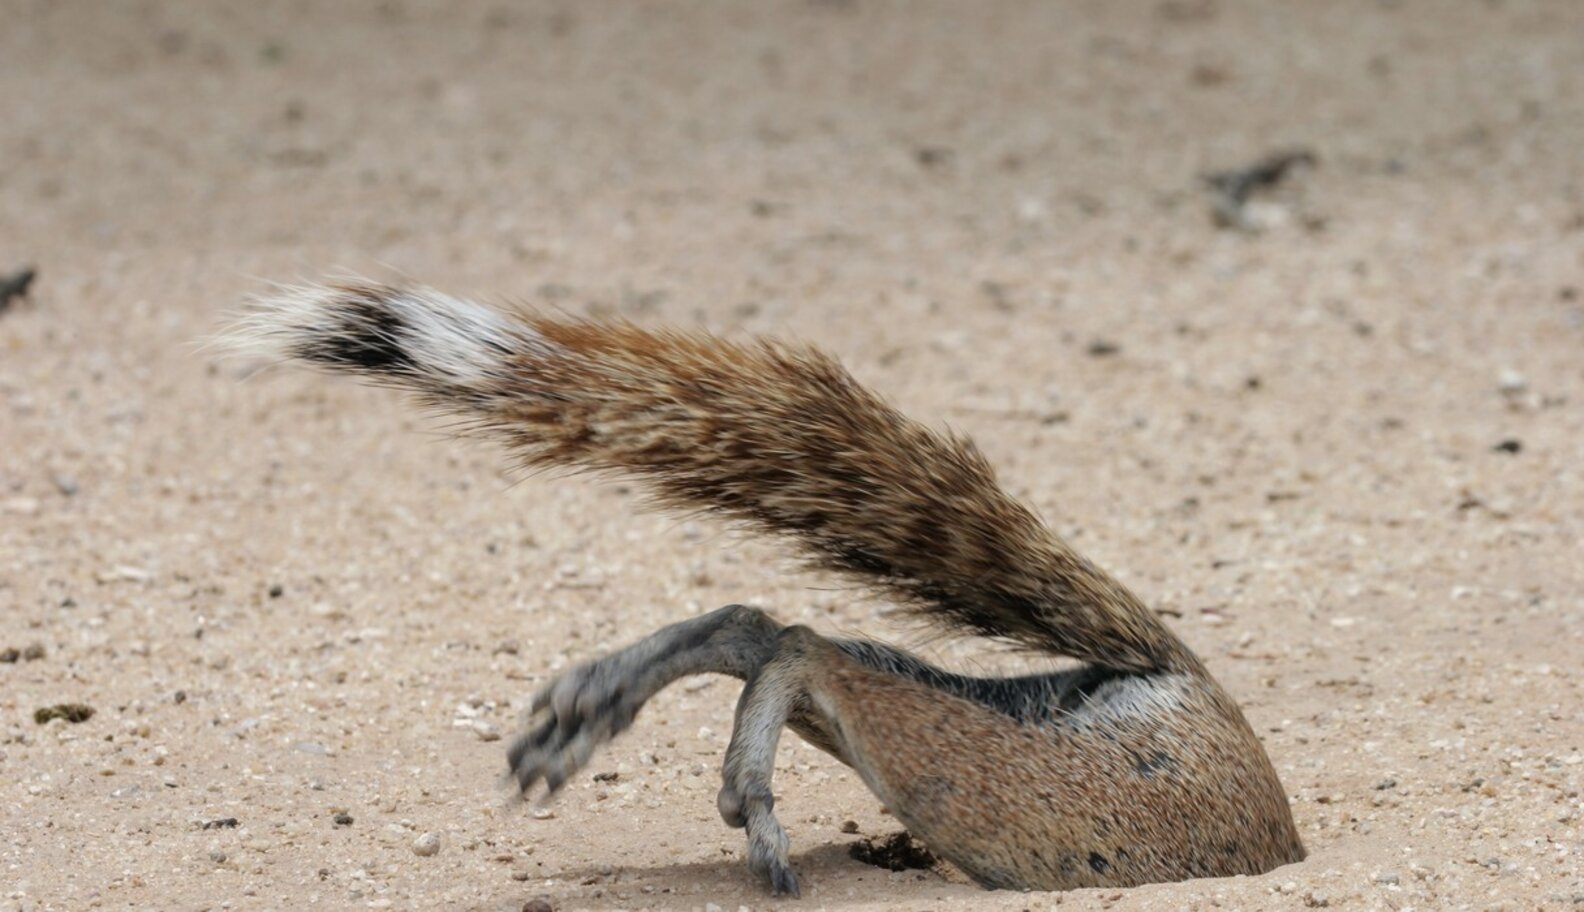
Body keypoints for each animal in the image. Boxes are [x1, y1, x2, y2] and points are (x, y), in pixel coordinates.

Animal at [224, 280, 1305, 896]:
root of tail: (1193, 682)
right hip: (994, 775)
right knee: (801, 648)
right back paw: (744, 789)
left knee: (762, 629)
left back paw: (594, 706)